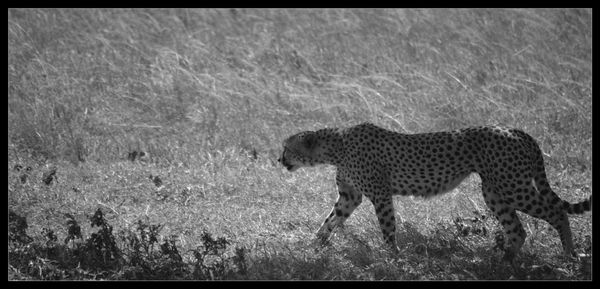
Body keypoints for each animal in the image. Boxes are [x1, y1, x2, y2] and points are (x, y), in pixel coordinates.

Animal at [278, 121, 592, 260]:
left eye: (286, 148)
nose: (279, 160)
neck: (336, 147)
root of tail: (514, 129)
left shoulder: (380, 194)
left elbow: (387, 226)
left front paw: (393, 256)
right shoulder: (349, 196)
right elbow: (330, 220)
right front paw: (314, 245)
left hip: (513, 186)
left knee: (556, 212)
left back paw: (570, 254)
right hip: (495, 191)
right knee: (518, 230)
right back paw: (501, 261)